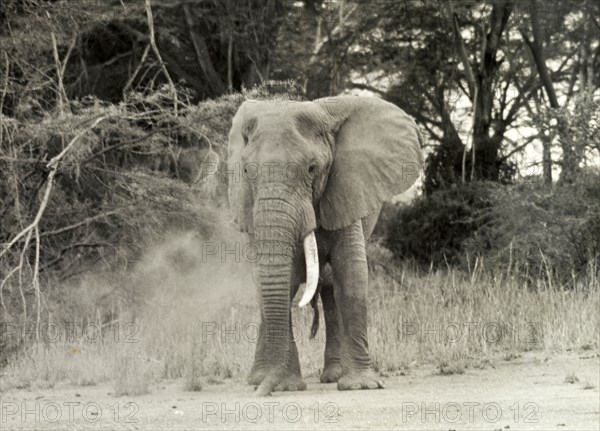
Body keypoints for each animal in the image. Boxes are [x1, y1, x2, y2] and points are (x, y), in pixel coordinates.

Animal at [226, 96, 422, 396]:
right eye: (247, 171)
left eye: (311, 169)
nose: (263, 395)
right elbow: (280, 282)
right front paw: (287, 386)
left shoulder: (346, 190)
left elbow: (351, 274)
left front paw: (362, 386)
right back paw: (259, 379)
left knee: (330, 290)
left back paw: (332, 375)